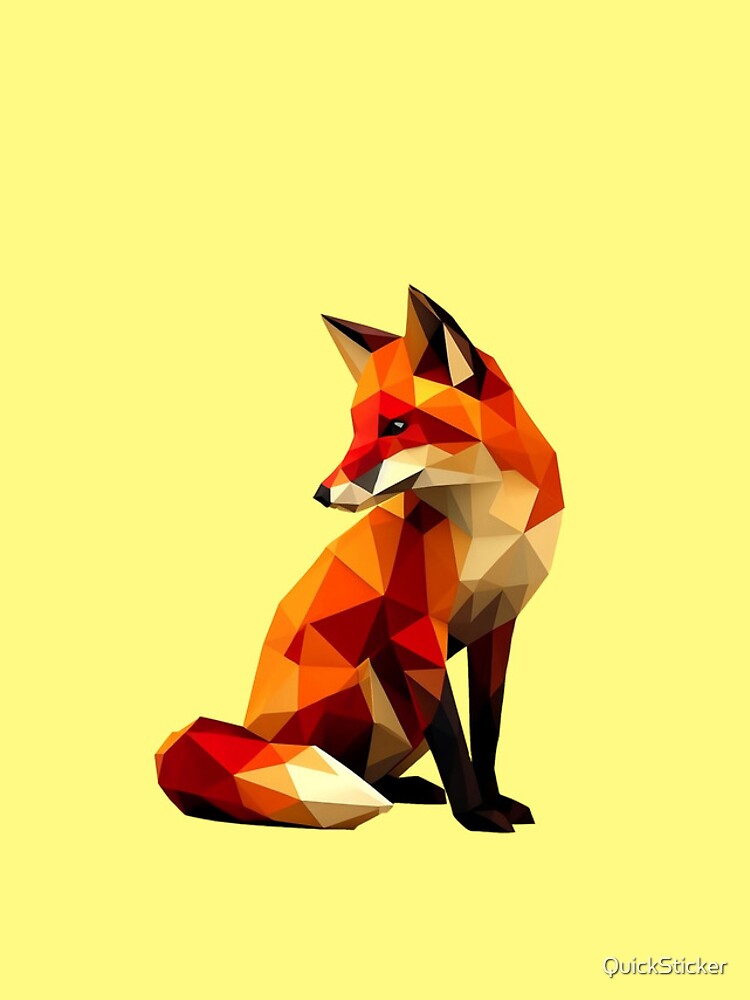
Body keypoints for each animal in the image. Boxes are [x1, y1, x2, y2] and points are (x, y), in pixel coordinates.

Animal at [156, 286, 563, 833]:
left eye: (396, 425)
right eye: (356, 427)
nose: (321, 494)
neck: (496, 524)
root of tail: (257, 737)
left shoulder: (498, 623)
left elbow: (487, 730)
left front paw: (496, 799)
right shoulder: (414, 631)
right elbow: (455, 741)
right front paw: (476, 813)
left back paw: (406, 788)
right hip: (377, 693)